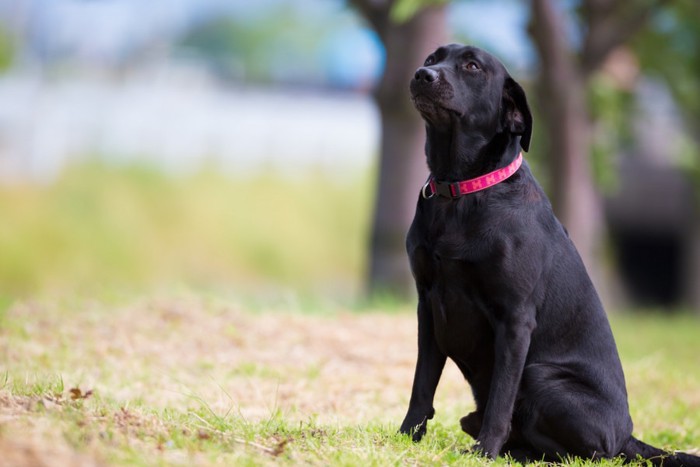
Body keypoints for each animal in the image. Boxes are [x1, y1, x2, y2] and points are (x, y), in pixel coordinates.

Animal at [400, 43, 700, 464]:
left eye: (472, 66)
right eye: (432, 59)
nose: (422, 75)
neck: (462, 190)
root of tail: (627, 437)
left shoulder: (514, 319)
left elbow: (501, 399)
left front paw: (486, 450)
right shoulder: (428, 305)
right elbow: (422, 383)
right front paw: (405, 437)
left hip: (541, 375)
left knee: (583, 452)